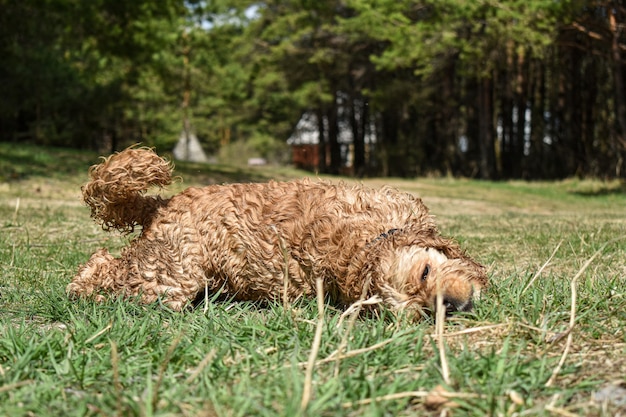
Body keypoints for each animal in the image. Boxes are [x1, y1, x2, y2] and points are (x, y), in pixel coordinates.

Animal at [68, 147, 488, 318]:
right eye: (423, 275)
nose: (450, 307)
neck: (366, 243)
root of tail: (164, 203)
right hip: (168, 277)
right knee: (103, 268)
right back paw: (80, 290)